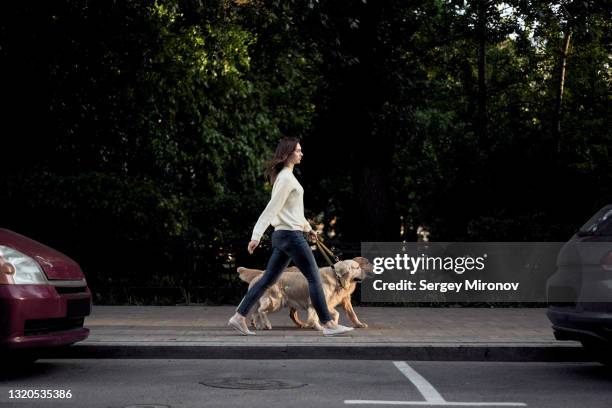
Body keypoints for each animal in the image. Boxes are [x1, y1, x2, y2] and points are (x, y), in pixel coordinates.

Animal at [235, 258, 372, 332]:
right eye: (357, 267)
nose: (366, 273)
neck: (336, 278)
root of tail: (259, 275)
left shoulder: (326, 303)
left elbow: (334, 314)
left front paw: (330, 324)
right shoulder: (317, 302)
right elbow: (316, 317)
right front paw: (318, 326)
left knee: (256, 312)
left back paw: (259, 326)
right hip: (276, 301)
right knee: (261, 311)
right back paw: (267, 325)